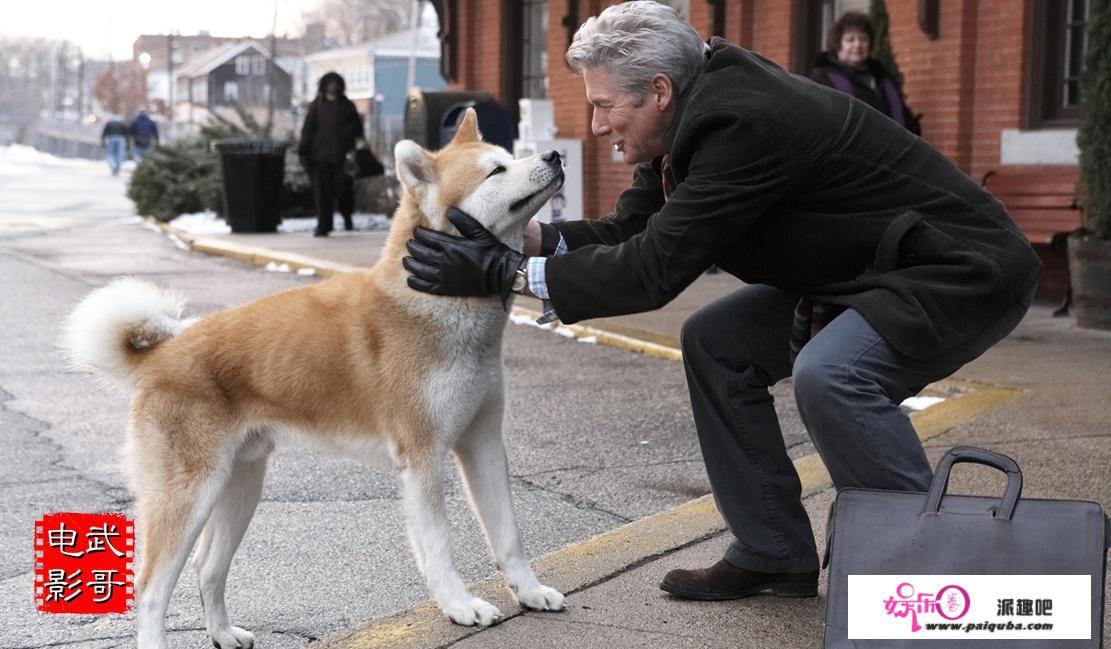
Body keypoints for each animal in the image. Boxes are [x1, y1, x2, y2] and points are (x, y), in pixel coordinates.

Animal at [60, 110, 564, 649]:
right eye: (496, 171)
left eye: (511, 156)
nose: (555, 155)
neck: (438, 300)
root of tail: (163, 353)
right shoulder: (423, 457)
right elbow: (439, 548)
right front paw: (460, 606)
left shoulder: (483, 442)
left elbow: (509, 537)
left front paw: (531, 592)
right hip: (189, 495)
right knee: (153, 589)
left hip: (241, 486)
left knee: (207, 569)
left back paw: (224, 633)